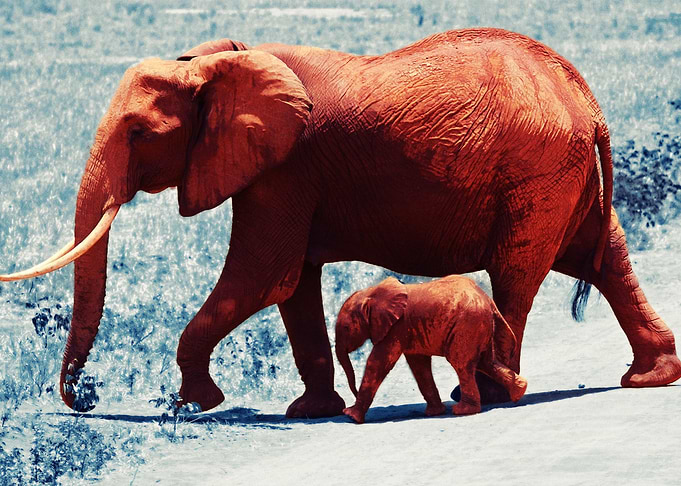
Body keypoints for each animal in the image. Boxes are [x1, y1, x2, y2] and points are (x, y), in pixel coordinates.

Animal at [336, 276, 528, 424]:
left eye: (346, 328)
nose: (352, 393)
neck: (371, 292)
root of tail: (489, 300)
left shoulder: (396, 327)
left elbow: (378, 362)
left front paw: (351, 416)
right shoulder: (409, 329)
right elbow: (419, 365)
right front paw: (434, 412)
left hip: (467, 325)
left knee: (461, 364)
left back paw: (463, 410)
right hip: (479, 326)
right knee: (486, 362)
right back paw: (520, 392)